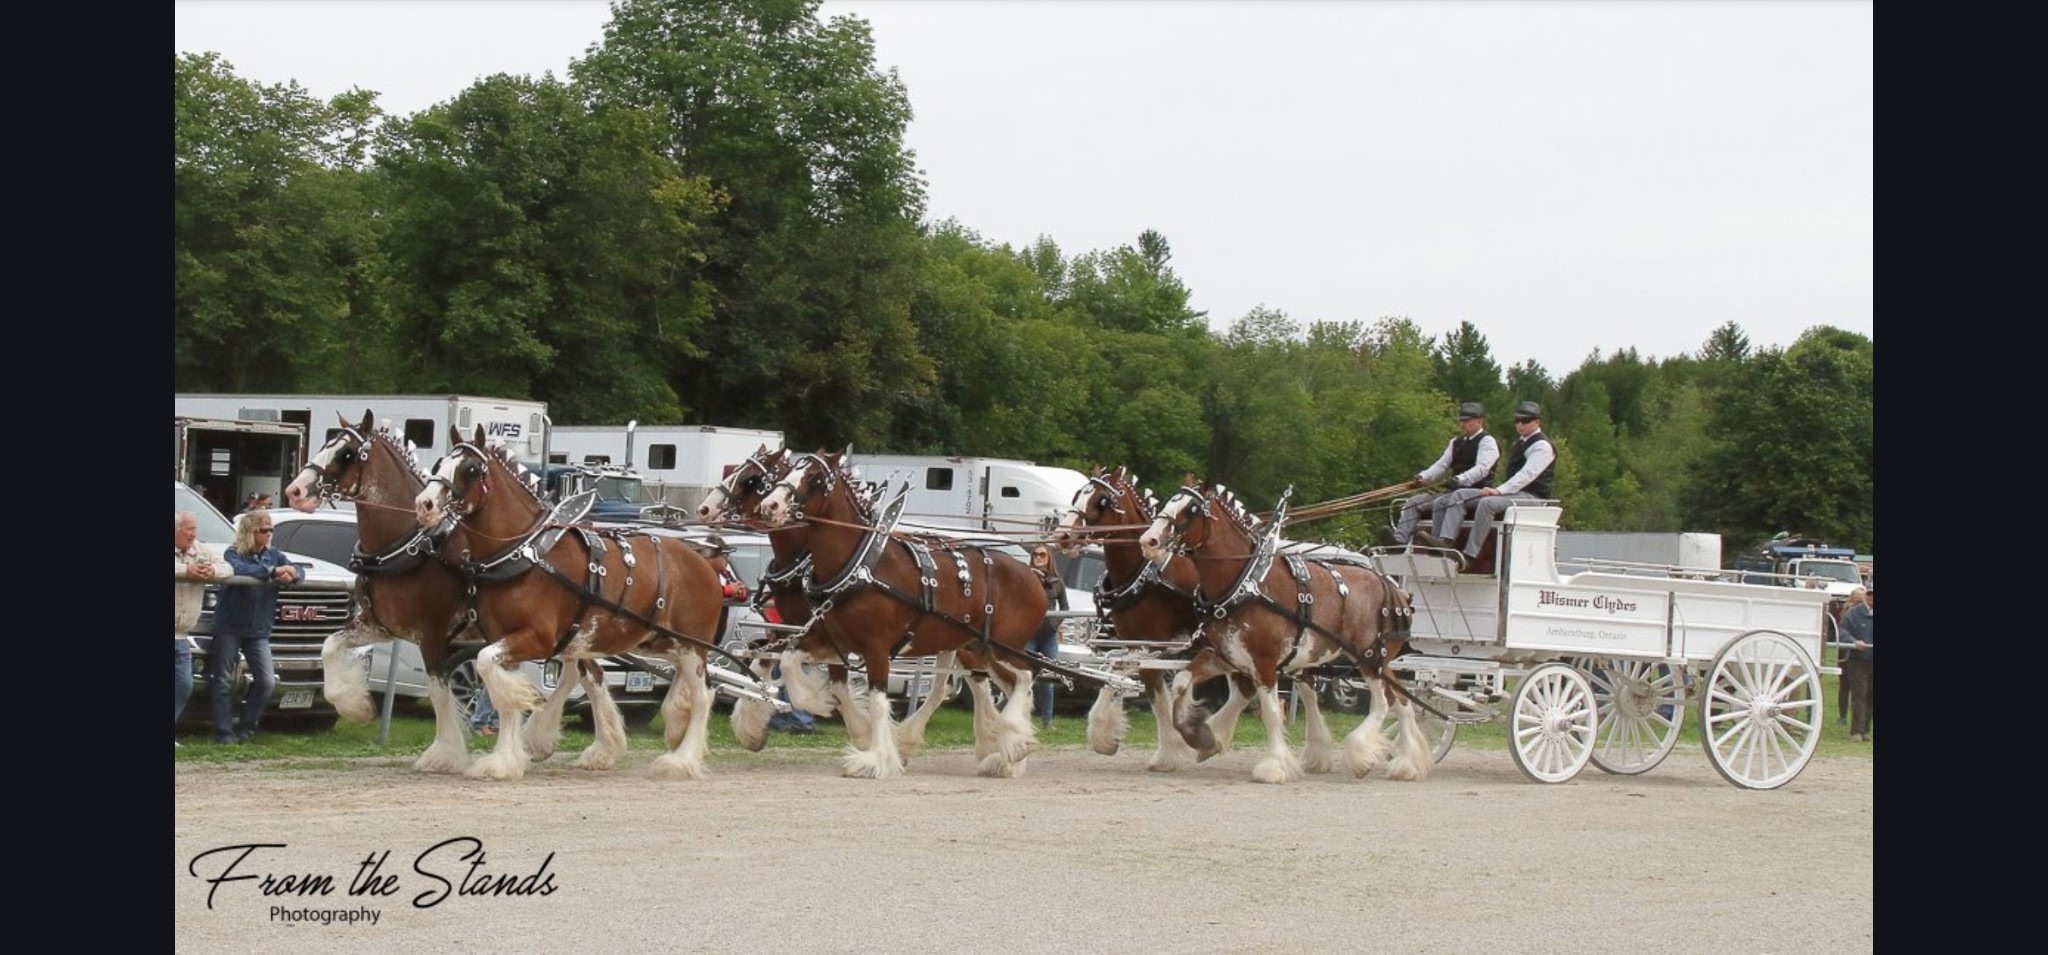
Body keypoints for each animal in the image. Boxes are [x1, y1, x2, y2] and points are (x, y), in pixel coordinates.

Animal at [413, 425, 728, 781]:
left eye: (470, 469)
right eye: (439, 463)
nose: (424, 504)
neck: (525, 554)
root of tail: (705, 561)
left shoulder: (537, 638)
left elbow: (489, 672)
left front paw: (508, 754)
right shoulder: (504, 638)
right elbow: (504, 692)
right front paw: (506, 758)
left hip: (692, 646)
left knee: (703, 696)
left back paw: (681, 761)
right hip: (660, 641)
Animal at [693, 444, 957, 755]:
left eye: (751, 479)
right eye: (736, 471)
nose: (705, 509)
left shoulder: (821, 632)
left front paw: (838, 715)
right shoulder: (795, 628)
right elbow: (764, 660)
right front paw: (752, 725)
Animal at [756, 449, 1048, 778]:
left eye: (814, 478)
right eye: (787, 473)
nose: (770, 505)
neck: (860, 565)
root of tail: (1033, 574)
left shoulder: (876, 647)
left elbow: (878, 701)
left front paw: (875, 758)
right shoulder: (832, 640)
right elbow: (794, 665)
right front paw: (822, 705)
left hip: (1004, 647)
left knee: (1027, 675)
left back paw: (1013, 741)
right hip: (979, 648)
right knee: (1009, 685)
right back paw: (1008, 758)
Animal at [1049, 466, 1255, 770]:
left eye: (1101, 500)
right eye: (1078, 495)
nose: (1063, 536)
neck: (1144, 573)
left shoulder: (1157, 645)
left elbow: (1157, 698)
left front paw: (1167, 753)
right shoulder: (1137, 644)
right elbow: (1115, 671)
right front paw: (1104, 736)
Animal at [1139, 482, 1432, 784]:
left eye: (1191, 509)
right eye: (1167, 502)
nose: (1148, 541)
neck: (1245, 584)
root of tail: (1395, 589)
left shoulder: (1265, 664)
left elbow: (1270, 714)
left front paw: (1273, 766)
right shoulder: (1225, 656)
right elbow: (1182, 681)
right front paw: (1200, 735)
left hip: (1369, 658)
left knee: (1383, 703)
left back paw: (1361, 754)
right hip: (1378, 661)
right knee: (1401, 701)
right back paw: (1408, 763)